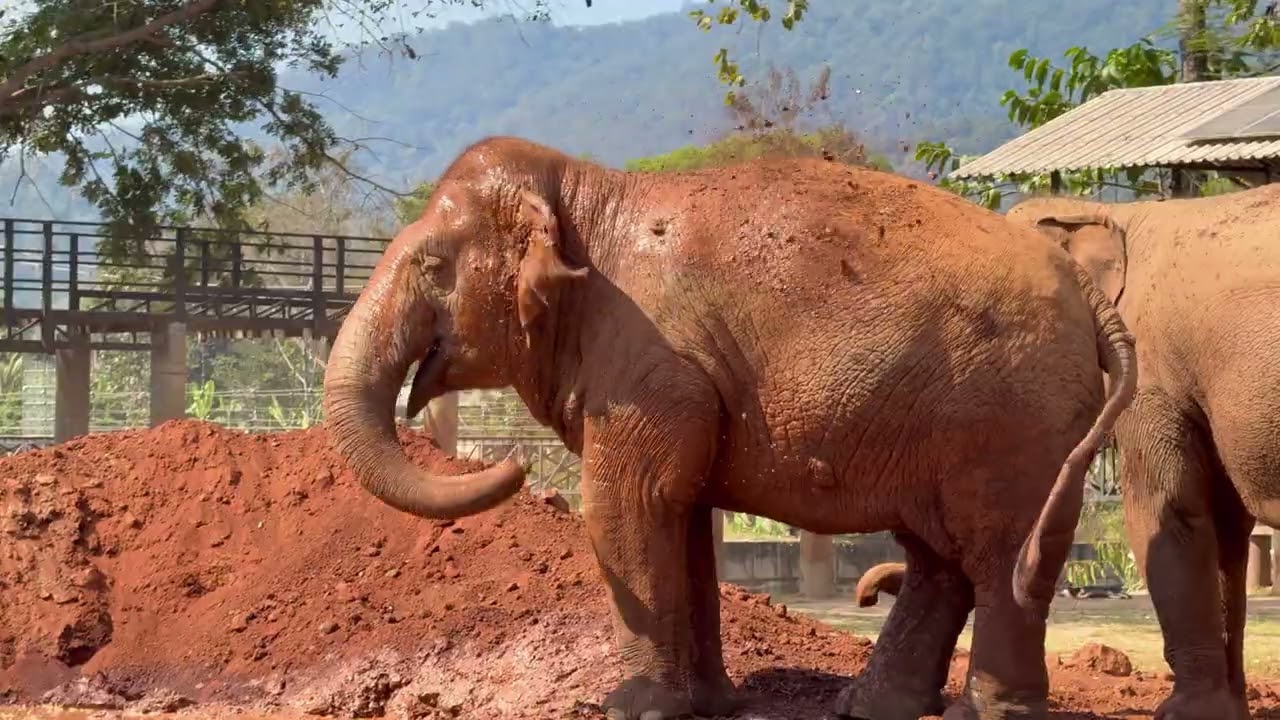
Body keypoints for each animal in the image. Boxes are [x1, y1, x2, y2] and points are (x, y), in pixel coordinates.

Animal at [322, 136, 1135, 720]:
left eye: (433, 264)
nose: (516, 468)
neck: (586, 188)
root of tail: (1089, 292)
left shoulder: (651, 366)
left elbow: (629, 507)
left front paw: (631, 712)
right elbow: (679, 518)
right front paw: (709, 706)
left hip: (1010, 416)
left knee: (995, 554)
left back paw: (982, 714)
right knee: (941, 557)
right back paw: (872, 707)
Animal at [1005, 183, 1280, 720]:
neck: (1111, 215)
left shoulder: (1155, 365)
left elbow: (1166, 507)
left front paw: (1185, 711)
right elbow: (1224, 525)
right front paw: (1226, 709)